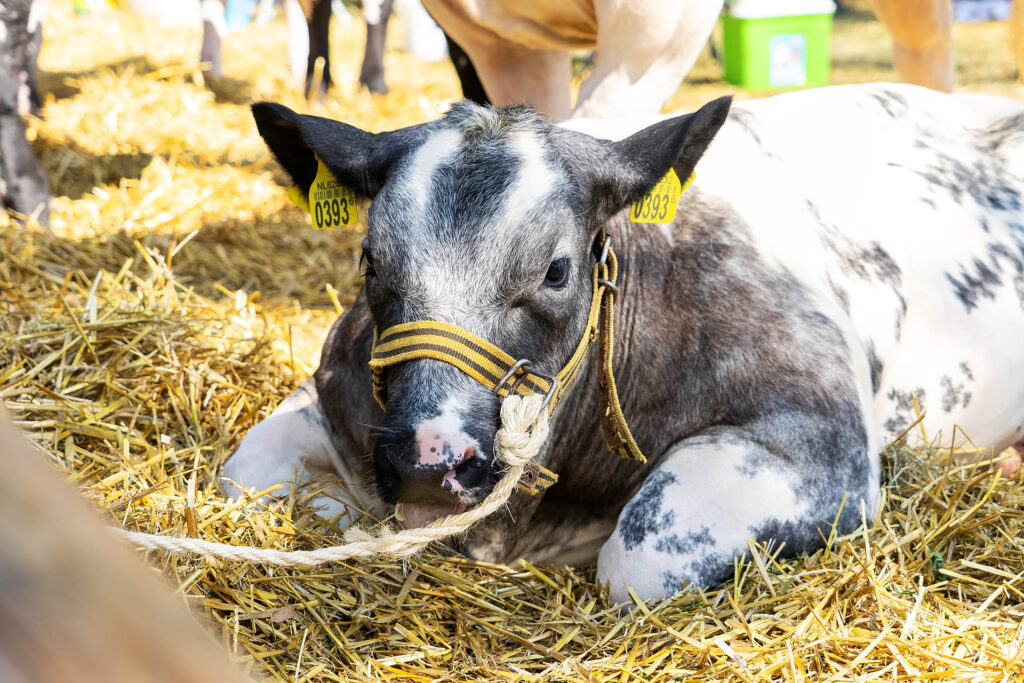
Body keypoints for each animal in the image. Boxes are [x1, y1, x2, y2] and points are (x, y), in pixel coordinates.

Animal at [223, 83, 1024, 603]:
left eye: (555, 270)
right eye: (370, 261)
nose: (429, 461)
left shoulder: (825, 442)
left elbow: (636, 557)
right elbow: (247, 474)